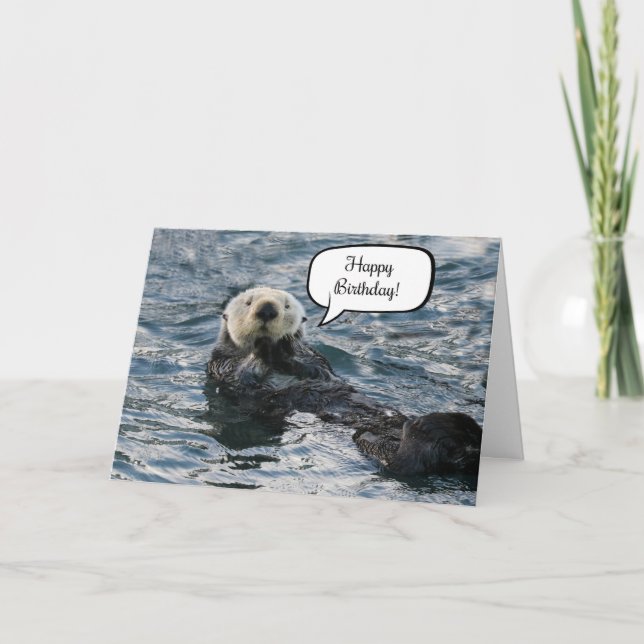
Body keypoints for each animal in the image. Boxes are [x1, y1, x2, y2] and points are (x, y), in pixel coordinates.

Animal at [207, 287, 482, 476]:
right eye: (248, 303)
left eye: (285, 306)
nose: (267, 310)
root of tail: (462, 452)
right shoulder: (222, 365)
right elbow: (242, 376)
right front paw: (264, 348)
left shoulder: (314, 358)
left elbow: (314, 369)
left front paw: (286, 343)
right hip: (372, 439)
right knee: (405, 462)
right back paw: (443, 426)